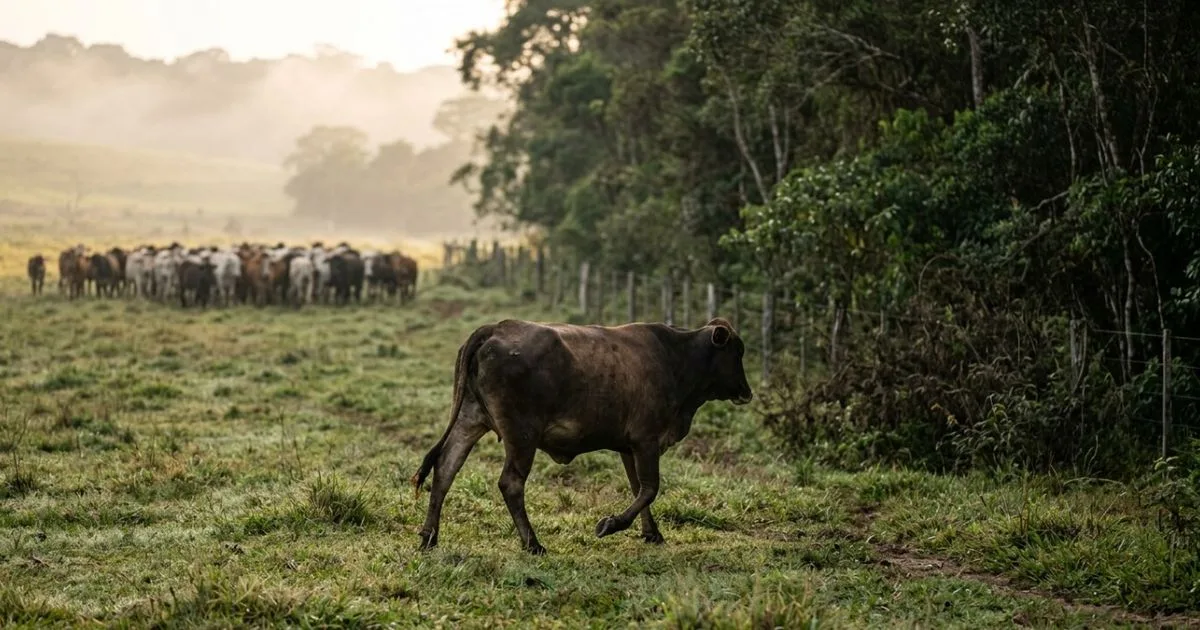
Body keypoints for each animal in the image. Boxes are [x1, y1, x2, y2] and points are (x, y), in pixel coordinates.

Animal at [411, 317, 754, 555]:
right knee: (510, 483)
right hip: (522, 434)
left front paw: (651, 533)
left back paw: (429, 536)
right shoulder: (646, 441)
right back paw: (533, 543)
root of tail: (496, 328)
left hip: (471, 419)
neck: (676, 359)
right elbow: (650, 489)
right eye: (737, 352)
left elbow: (639, 489)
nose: (747, 392)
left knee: (446, 468)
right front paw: (612, 525)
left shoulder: (630, 447)